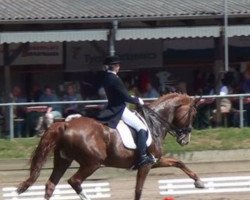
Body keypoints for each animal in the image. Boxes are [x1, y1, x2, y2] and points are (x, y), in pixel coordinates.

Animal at [17, 93, 205, 199]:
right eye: (193, 113)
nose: (185, 139)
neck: (154, 122)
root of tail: (66, 124)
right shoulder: (146, 165)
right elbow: (138, 190)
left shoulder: (155, 160)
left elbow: (178, 162)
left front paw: (199, 182)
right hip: (92, 162)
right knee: (74, 181)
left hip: (63, 160)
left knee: (51, 185)